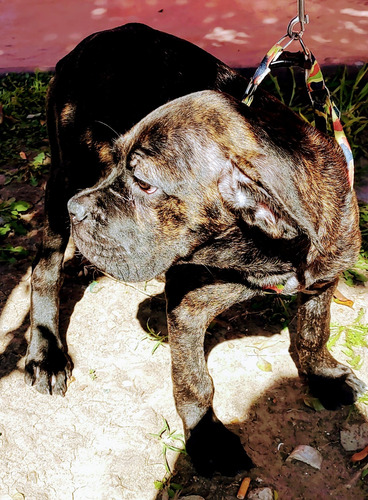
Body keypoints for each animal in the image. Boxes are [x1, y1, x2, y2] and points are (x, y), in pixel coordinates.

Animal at [28, 24, 362, 476]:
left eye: (144, 183)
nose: (76, 209)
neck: (270, 253)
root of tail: (94, 38)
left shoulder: (325, 275)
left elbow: (315, 330)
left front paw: (324, 376)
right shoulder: (187, 308)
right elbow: (194, 382)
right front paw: (206, 437)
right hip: (66, 172)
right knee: (44, 269)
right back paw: (46, 353)